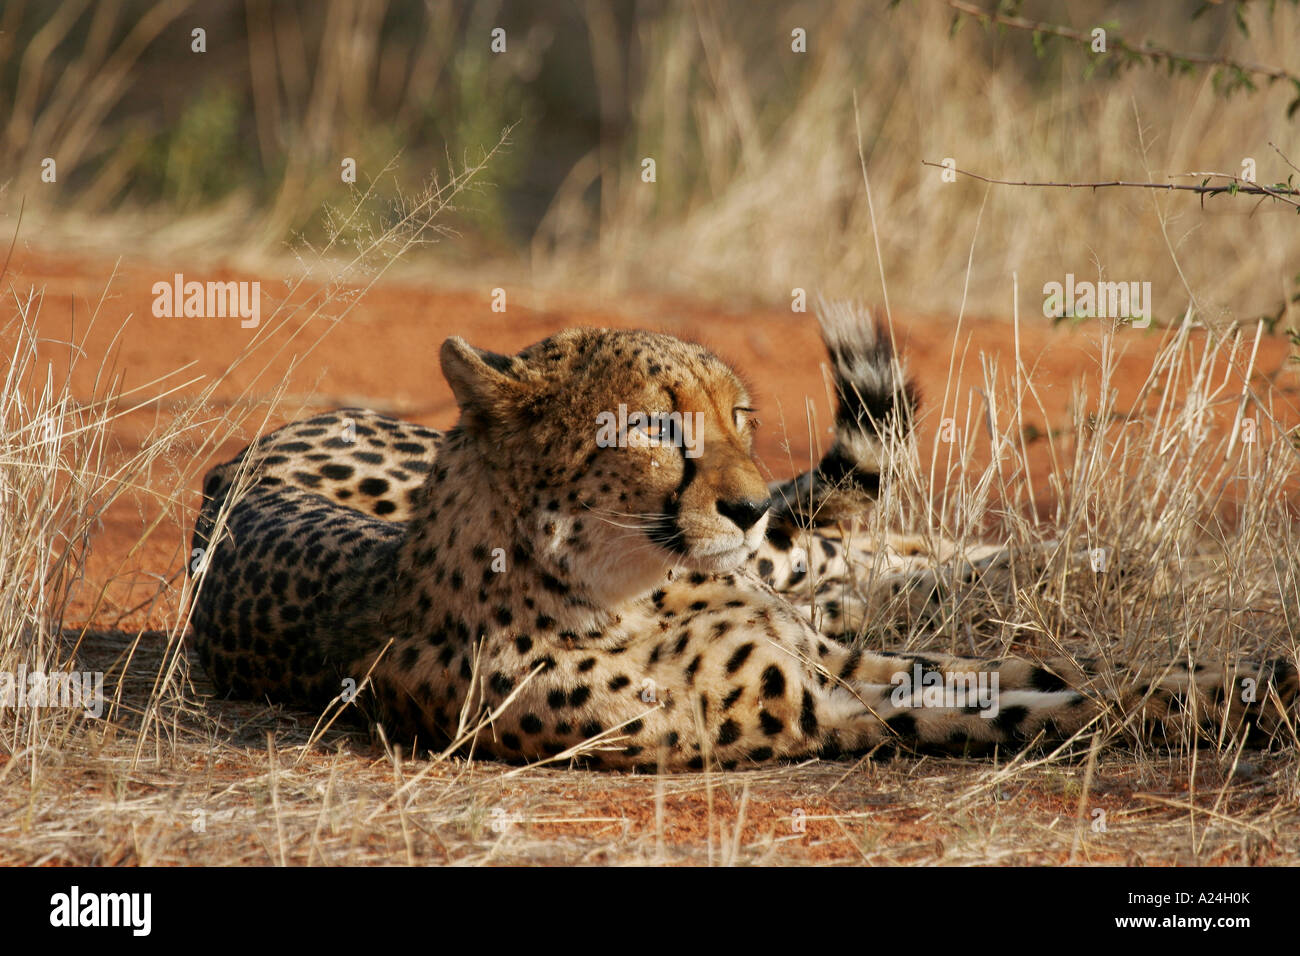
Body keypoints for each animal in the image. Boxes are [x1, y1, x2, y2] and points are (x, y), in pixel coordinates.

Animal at [188, 304, 1294, 770]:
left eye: (739, 416)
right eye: (653, 426)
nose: (750, 501)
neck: (616, 588)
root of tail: (234, 461)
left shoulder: (833, 656)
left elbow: (1061, 671)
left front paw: (1246, 680)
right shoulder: (823, 702)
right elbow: (1044, 701)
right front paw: (1236, 698)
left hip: (794, 564)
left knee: (870, 551)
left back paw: (1089, 558)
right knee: (862, 563)